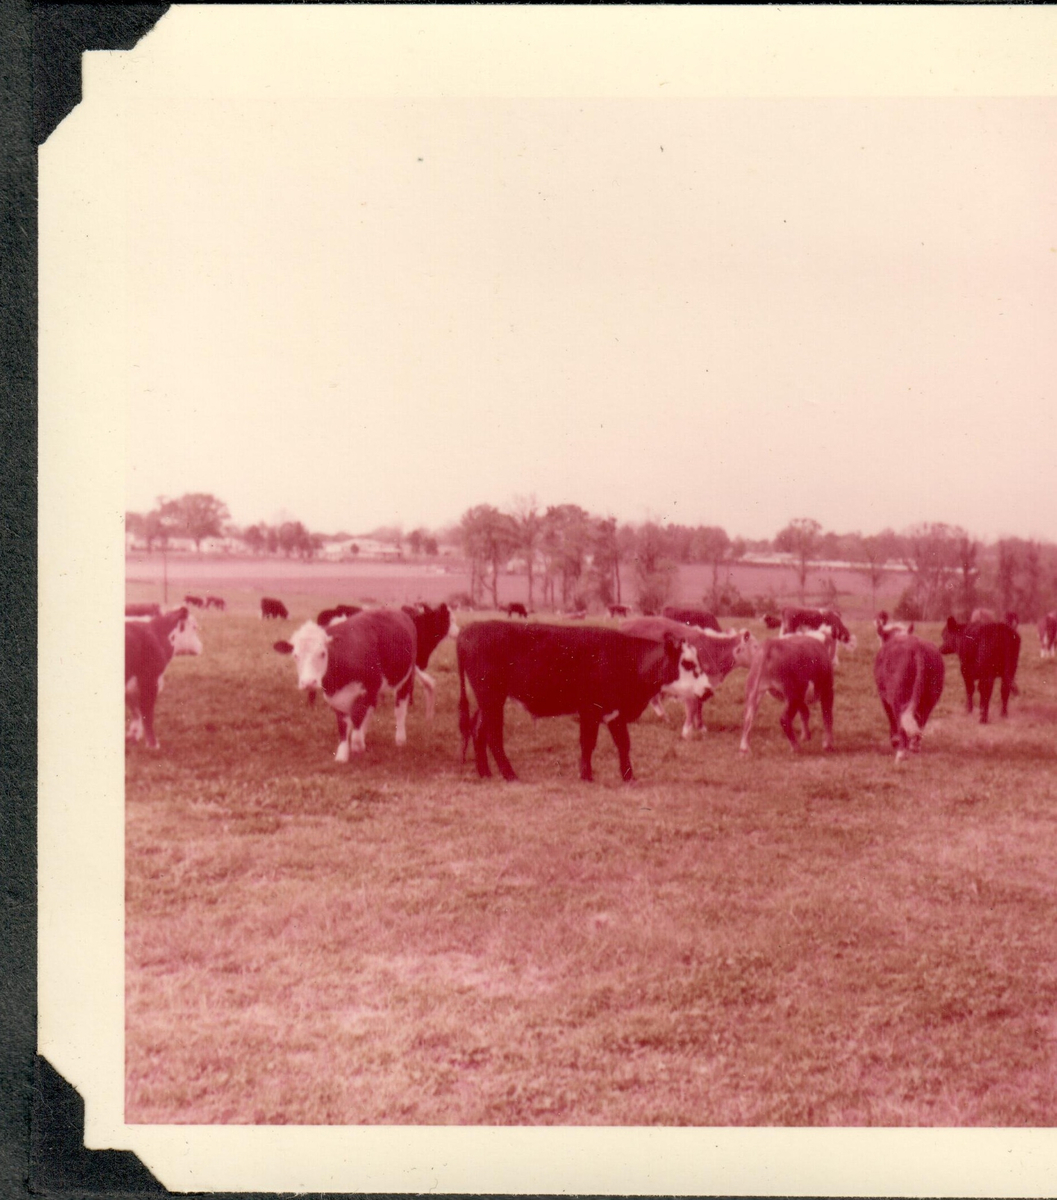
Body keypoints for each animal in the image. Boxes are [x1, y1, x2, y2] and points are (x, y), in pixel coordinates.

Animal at [124, 609, 202, 748]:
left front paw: (132, 737)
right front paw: (153, 745)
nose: (201, 646)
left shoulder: (131, 685)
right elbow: (147, 713)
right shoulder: (149, 680)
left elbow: (136, 711)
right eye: (194, 627)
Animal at [272, 609, 417, 758]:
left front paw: (357, 746)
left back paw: (400, 740)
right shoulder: (337, 698)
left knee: (400, 709)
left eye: (323, 653)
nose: (308, 682)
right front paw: (342, 755)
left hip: (406, 677)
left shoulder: (366, 690)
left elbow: (357, 718)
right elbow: (343, 725)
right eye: (295, 655)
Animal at [453, 624, 710, 782]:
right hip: (492, 699)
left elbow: (623, 744)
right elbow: (588, 743)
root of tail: (468, 631)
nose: (708, 691)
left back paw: (485, 773)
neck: (626, 658)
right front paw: (587, 776)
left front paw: (629, 777)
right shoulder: (590, 710)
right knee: (493, 736)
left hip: (488, 701)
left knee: (478, 730)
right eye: (687, 663)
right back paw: (510, 775)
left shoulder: (615, 712)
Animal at [623, 614, 753, 734]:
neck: (713, 648)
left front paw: (700, 727)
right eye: (755, 646)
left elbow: (699, 705)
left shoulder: (703, 686)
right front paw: (687, 731)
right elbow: (692, 707)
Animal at [868, 624, 945, 763]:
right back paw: (915, 746)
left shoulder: (884, 698)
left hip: (898, 697)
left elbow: (891, 717)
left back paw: (901, 753)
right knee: (921, 720)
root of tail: (917, 647)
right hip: (931, 697)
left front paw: (894, 741)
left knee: (900, 722)